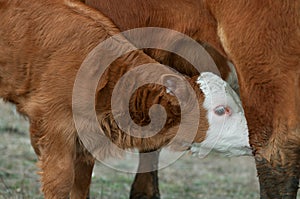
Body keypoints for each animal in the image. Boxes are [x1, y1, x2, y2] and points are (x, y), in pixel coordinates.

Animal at [0, 0, 251, 198]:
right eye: (221, 110)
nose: (252, 139)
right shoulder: (54, 126)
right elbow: (60, 181)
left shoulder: (85, 142)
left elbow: (81, 184)